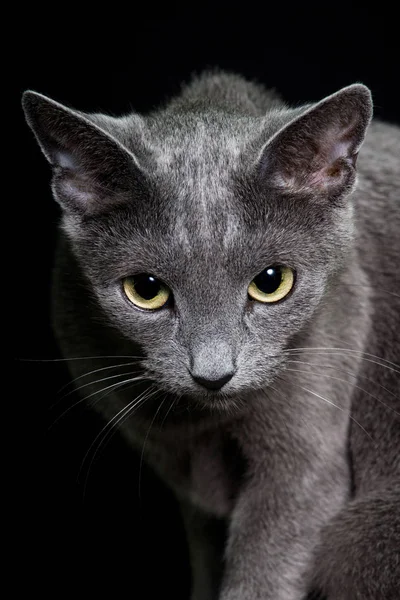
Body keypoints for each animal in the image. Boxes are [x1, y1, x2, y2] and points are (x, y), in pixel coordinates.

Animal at [22, 71, 400, 600]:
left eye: (272, 282)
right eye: (146, 291)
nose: (213, 373)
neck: (198, 426)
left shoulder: (304, 462)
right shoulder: (186, 484)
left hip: (359, 535)